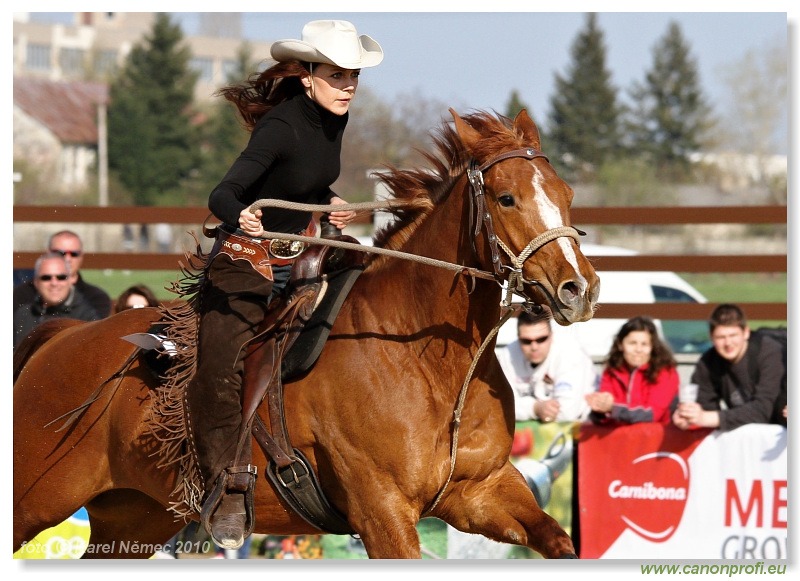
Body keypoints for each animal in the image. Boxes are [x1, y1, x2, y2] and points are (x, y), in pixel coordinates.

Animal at [14, 109, 600, 556]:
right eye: (506, 198)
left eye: (568, 192)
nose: (580, 288)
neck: (423, 359)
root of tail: (63, 337)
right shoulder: (382, 513)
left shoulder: (481, 490)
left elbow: (559, 541)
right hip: (35, 498)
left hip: (134, 516)